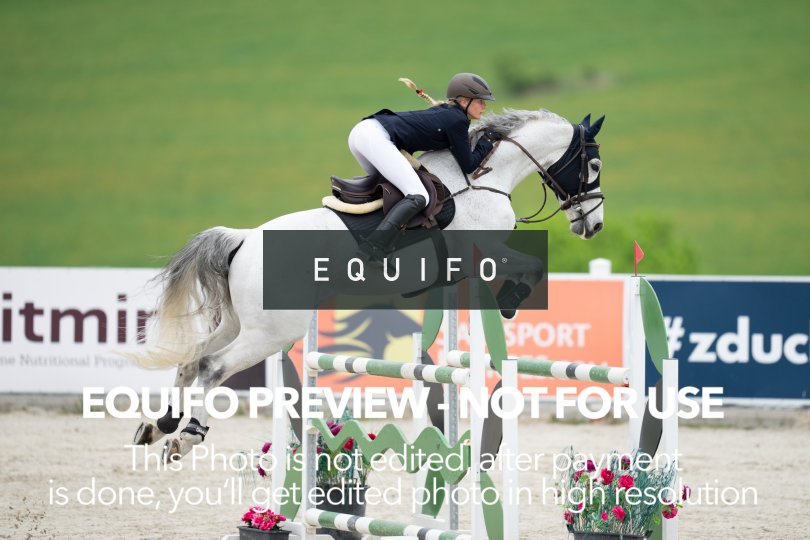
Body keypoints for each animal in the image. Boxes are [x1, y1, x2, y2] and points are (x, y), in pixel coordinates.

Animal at [129, 108, 606, 460]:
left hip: (238, 322)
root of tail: (244, 239)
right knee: (213, 366)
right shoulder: (484, 252)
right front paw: (510, 299)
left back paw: (160, 424)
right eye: (595, 165)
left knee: (191, 359)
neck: (482, 179)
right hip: (274, 329)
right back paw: (187, 435)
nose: (594, 226)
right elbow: (534, 266)